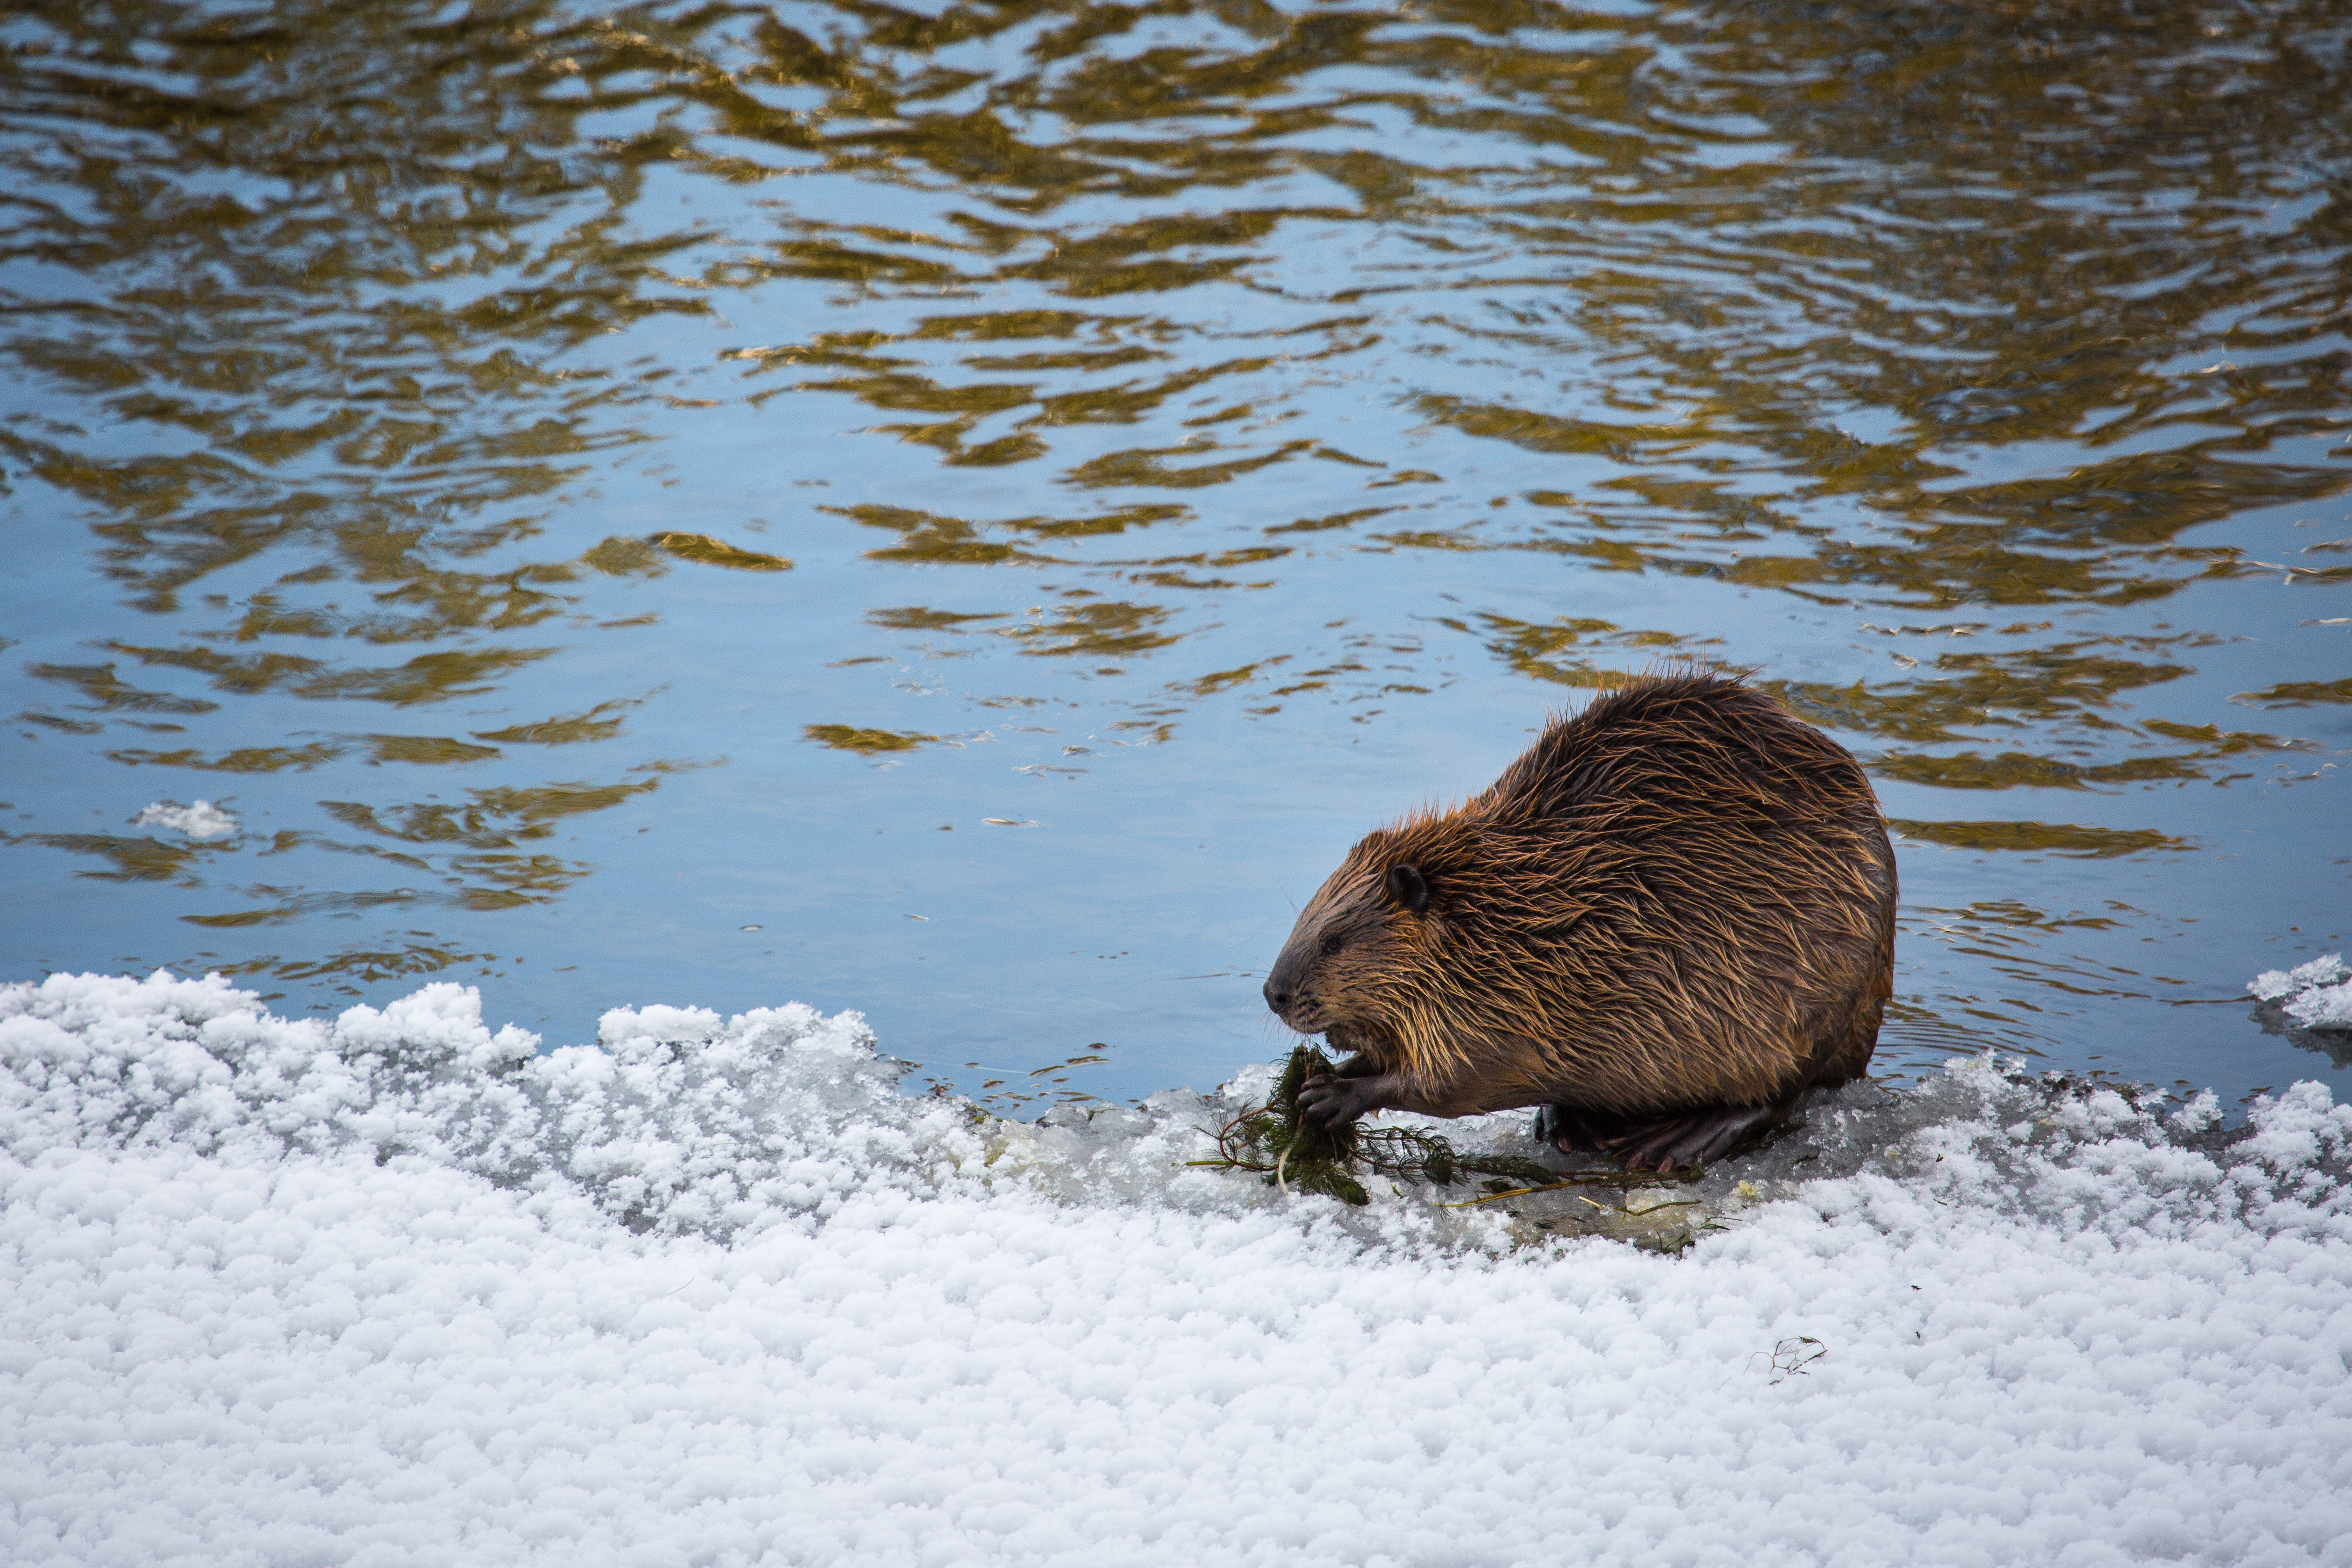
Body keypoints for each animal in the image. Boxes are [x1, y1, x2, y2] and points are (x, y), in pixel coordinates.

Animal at [1270, 668, 1891, 1171]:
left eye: (1334, 940)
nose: (1273, 994)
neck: (1497, 914)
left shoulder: (1503, 1008)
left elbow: (1447, 1081)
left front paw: (1329, 1096)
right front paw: (1329, 1077)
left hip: (1819, 1005)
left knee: (1780, 1095)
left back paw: (1675, 1142)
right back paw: (1565, 1121)